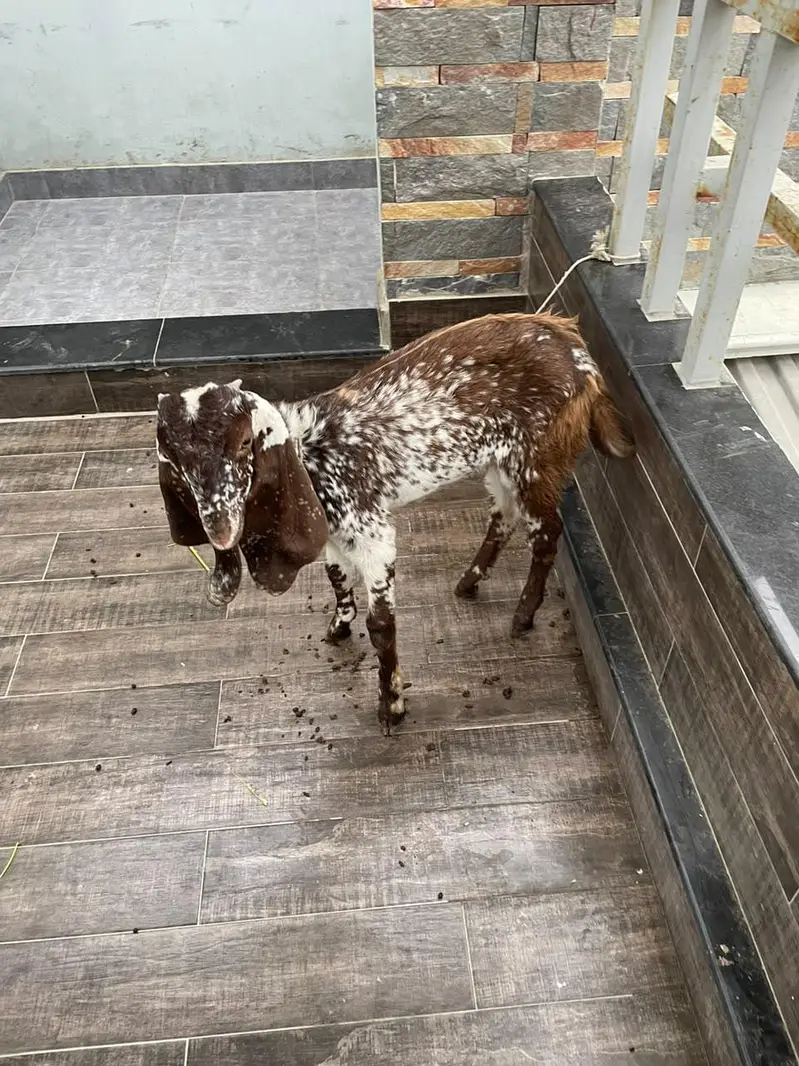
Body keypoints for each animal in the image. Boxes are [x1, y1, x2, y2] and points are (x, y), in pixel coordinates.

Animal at [156, 313, 634, 735]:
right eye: (174, 457)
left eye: (242, 444)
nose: (219, 529)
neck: (313, 454)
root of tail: (576, 348)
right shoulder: (333, 533)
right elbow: (336, 578)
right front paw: (338, 627)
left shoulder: (372, 534)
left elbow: (382, 626)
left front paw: (392, 706)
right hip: (500, 462)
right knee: (504, 516)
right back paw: (468, 581)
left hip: (537, 458)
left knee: (547, 532)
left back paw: (522, 615)